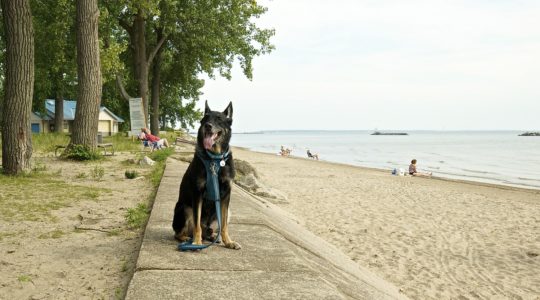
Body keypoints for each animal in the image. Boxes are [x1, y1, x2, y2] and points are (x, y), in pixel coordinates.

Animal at [172, 101, 242, 251]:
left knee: (213, 229)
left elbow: (224, 225)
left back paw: (214, 237)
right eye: (205, 119)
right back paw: (187, 239)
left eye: (219, 119)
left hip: (227, 212)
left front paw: (228, 241)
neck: (214, 158)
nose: (208, 126)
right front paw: (196, 243)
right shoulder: (197, 193)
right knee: (181, 232)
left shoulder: (226, 195)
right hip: (184, 208)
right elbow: (197, 224)